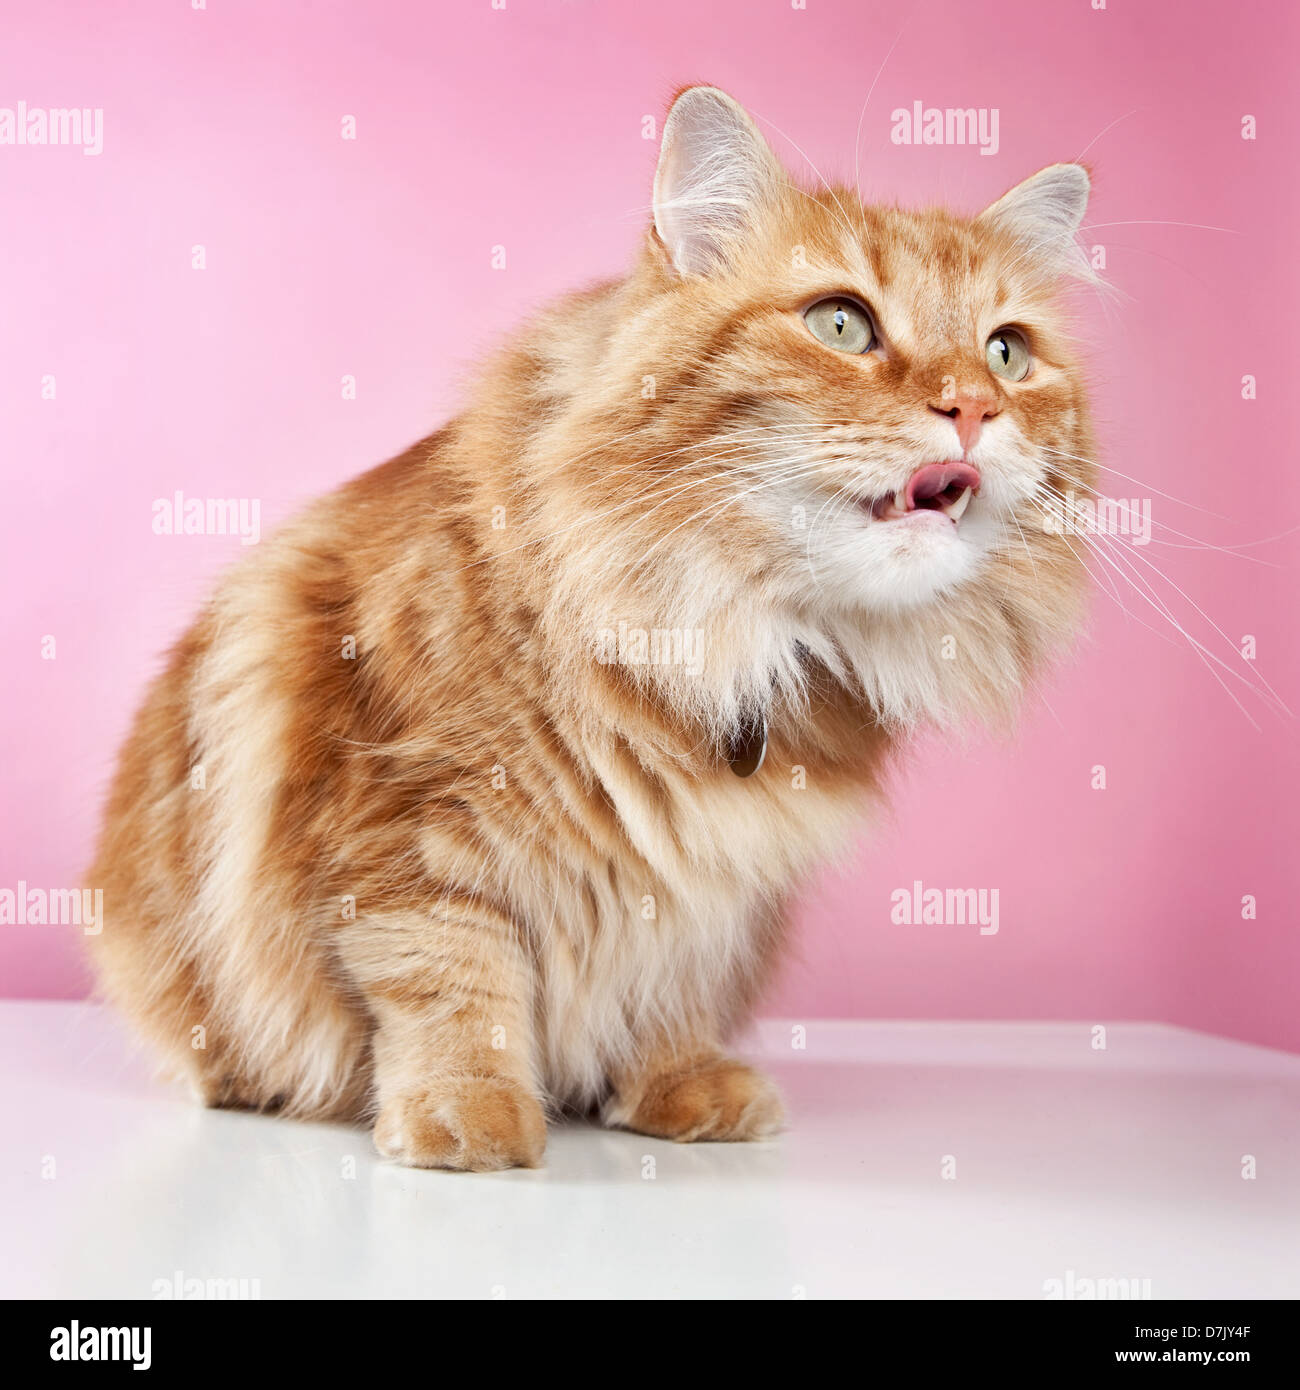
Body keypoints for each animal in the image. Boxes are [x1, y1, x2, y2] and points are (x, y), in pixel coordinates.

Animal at [86, 86, 1095, 1167]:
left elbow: (667, 996)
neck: (728, 632)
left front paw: (680, 1088)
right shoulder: (407, 835)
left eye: (1006, 351)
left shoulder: (713, 887)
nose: (976, 407)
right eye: (841, 323)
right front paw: (470, 1119)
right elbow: (452, 987)